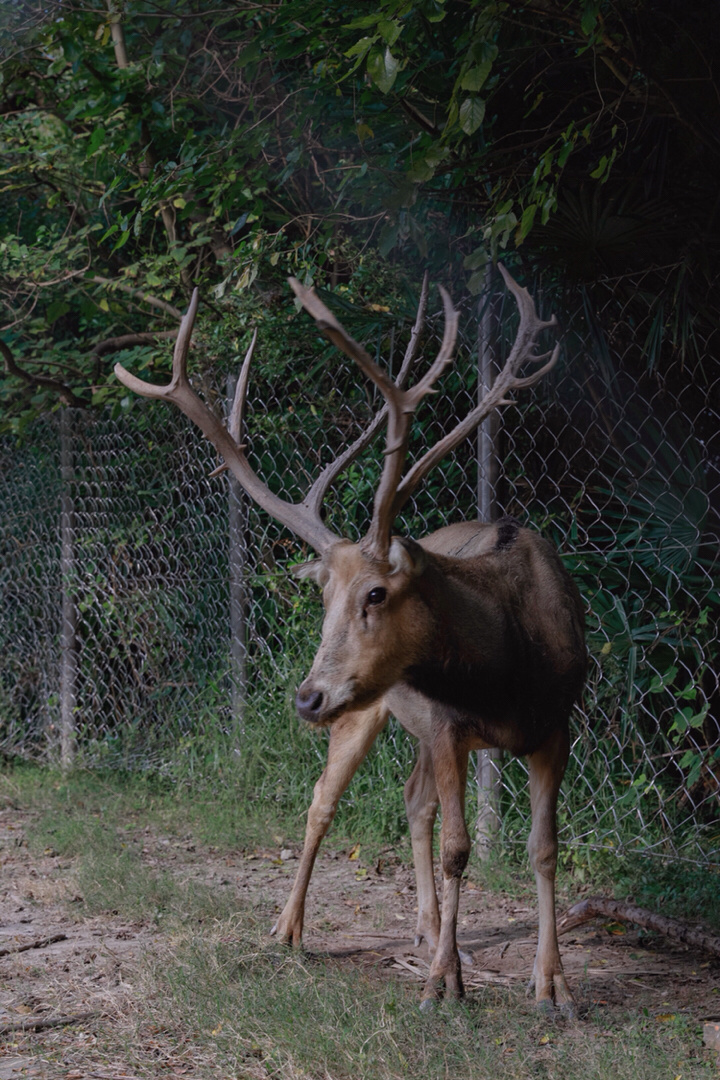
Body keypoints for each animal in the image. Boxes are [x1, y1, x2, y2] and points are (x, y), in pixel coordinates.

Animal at [113, 267, 587, 1010]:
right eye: (323, 596)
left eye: (375, 594)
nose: (306, 697)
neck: (510, 668)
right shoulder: (449, 724)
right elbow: (459, 848)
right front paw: (443, 985)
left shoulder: (556, 726)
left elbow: (543, 849)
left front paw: (553, 985)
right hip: (368, 712)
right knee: (323, 802)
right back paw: (288, 930)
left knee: (413, 801)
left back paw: (429, 932)